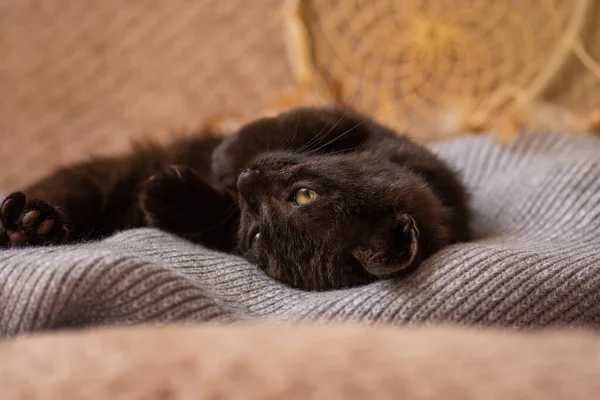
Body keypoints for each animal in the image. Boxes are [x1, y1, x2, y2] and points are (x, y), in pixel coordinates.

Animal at [0, 106, 468, 290]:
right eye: (304, 195)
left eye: (257, 237)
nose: (246, 180)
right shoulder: (354, 121)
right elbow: (284, 124)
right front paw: (223, 157)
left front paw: (170, 195)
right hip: (90, 182)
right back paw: (28, 220)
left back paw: (31, 229)